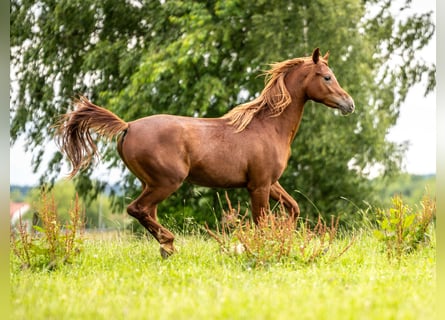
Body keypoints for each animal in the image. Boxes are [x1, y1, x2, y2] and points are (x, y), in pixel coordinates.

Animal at [56, 47, 354, 258]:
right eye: (327, 77)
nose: (349, 104)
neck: (268, 126)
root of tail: (127, 126)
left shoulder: (271, 183)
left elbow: (293, 209)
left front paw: (283, 237)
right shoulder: (258, 186)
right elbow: (260, 221)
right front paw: (263, 247)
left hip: (151, 183)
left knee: (146, 211)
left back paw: (166, 247)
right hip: (166, 182)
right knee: (137, 209)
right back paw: (168, 244)